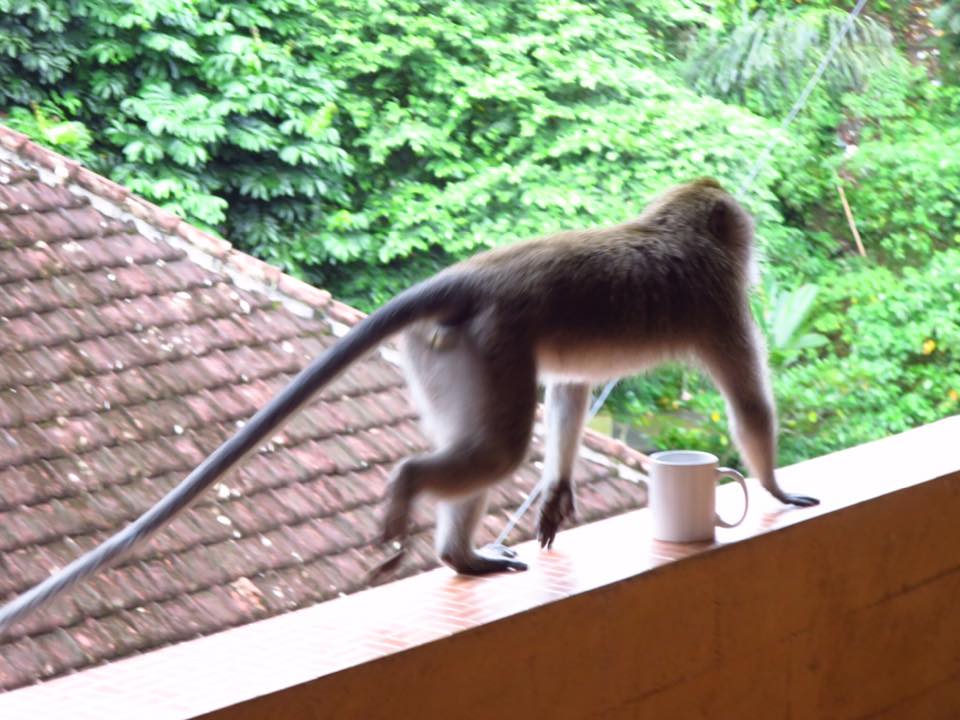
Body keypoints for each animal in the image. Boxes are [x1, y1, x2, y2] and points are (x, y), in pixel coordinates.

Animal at [0, 179, 816, 636]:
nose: (757, 240)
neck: (673, 228)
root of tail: (470, 278)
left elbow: (570, 391)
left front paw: (555, 494)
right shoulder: (719, 300)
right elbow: (749, 402)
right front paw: (778, 488)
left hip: (446, 354)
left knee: (491, 440)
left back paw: (460, 556)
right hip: (489, 342)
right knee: (496, 448)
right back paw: (405, 489)